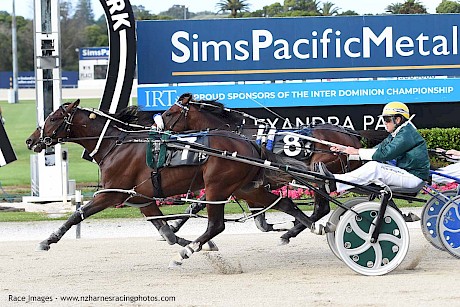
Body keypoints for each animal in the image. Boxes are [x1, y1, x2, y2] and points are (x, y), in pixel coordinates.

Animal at [26, 101, 316, 268]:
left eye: (53, 118)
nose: (31, 141)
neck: (116, 145)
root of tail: (249, 143)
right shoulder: (142, 199)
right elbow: (167, 233)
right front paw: (193, 242)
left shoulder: (111, 193)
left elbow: (77, 214)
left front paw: (48, 240)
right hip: (246, 187)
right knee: (286, 203)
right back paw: (313, 226)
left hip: (217, 188)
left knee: (216, 225)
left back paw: (185, 254)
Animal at [160, 93, 386, 243]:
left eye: (170, 113)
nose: (157, 127)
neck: (235, 134)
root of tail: (351, 135)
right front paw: (174, 226)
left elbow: (199, 203)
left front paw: (173, 226)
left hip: (318, 171)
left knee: (322, 207)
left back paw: (291, 232)